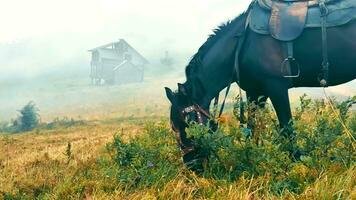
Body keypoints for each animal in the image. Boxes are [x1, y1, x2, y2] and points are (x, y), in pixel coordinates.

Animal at [164, 2, 356, 170]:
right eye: (173, 127)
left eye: (188, 122)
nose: (191, 166)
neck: (242, 44)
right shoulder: (255, 92)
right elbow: (252, 128)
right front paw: (252, 158)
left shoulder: (276, 88)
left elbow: (287, 129)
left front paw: (297, 161)